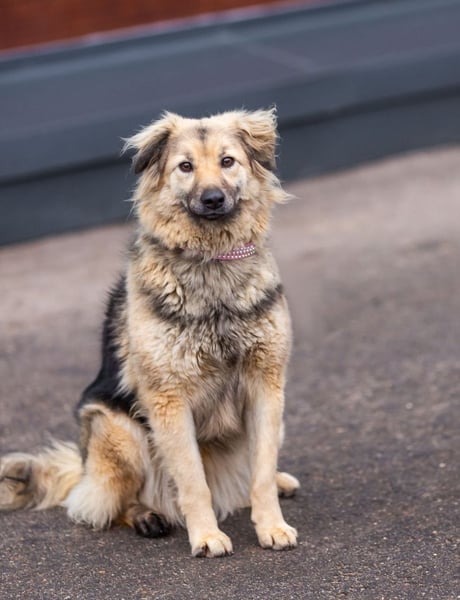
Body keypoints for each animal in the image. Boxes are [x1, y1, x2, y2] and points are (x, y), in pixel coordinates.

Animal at [0, 109, 299, 557]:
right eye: (185, 166)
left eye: (227, 161)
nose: (213, 199)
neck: (211, 262)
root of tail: (82, 467)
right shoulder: (168, 401)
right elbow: (192, 480)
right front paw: (207, 536)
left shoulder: (266, 386)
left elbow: (261, 470)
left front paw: (271, 526)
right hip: (116, 429)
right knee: (101, 504)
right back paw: (147, 516)